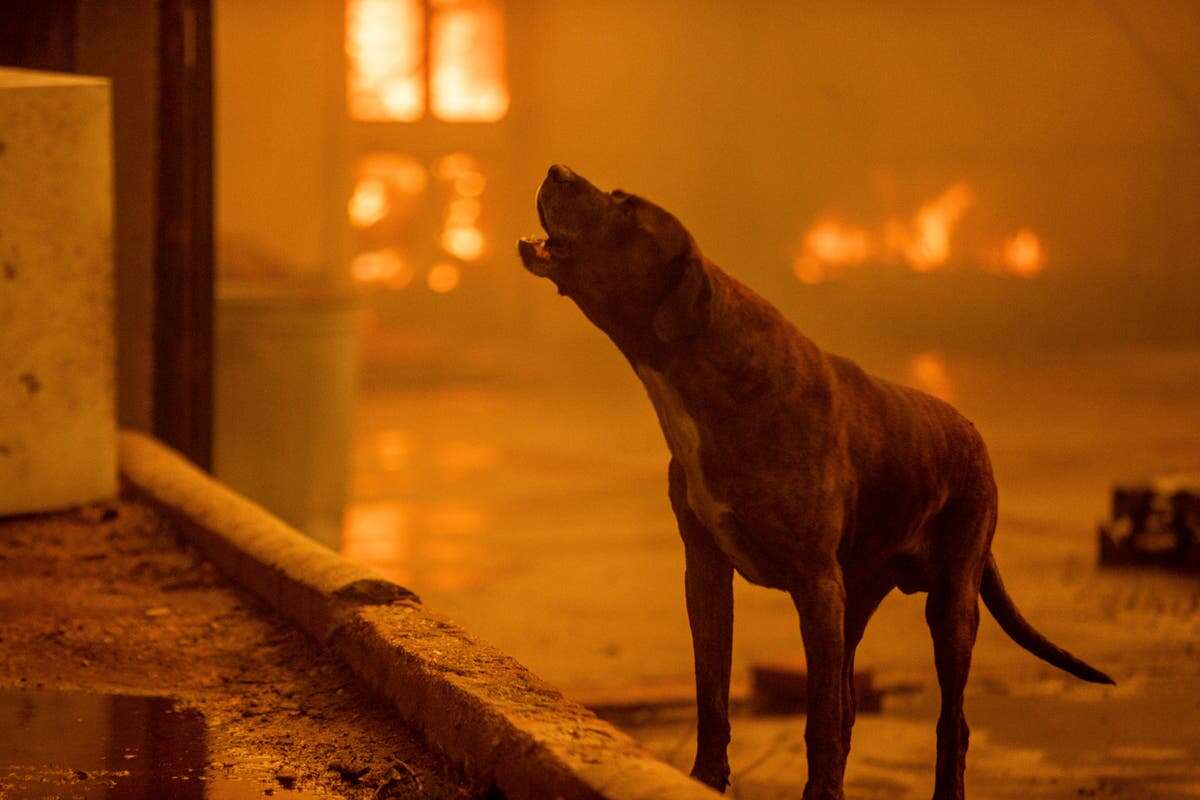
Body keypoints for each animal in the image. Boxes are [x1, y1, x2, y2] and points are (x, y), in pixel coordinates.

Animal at [518, 165, 1113, 796]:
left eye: (627, 209)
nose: (557, 171)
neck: (704, 372)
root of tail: (972, 432)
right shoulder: (707, 571)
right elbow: (714, 691)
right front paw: (707, 778)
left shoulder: (816, 585)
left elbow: (819, 717)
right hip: (859, 599)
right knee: (851, 701)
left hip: (951, 606)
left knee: (950, 720)